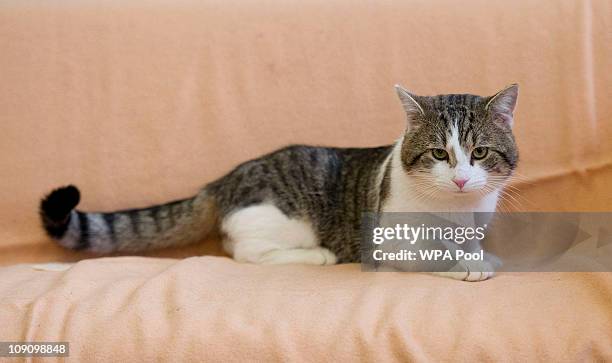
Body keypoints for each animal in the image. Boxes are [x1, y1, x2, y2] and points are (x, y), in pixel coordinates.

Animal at [39, 84, 516, 282]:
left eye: (478, 154)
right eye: (439, 154)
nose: (460, 179)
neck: (457, 211)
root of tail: (223, 180)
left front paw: (479, 255)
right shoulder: (389, 242)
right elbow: (430, 253)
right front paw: (465, 264)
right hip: (284, 220)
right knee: (244, 251)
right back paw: (318, 256)